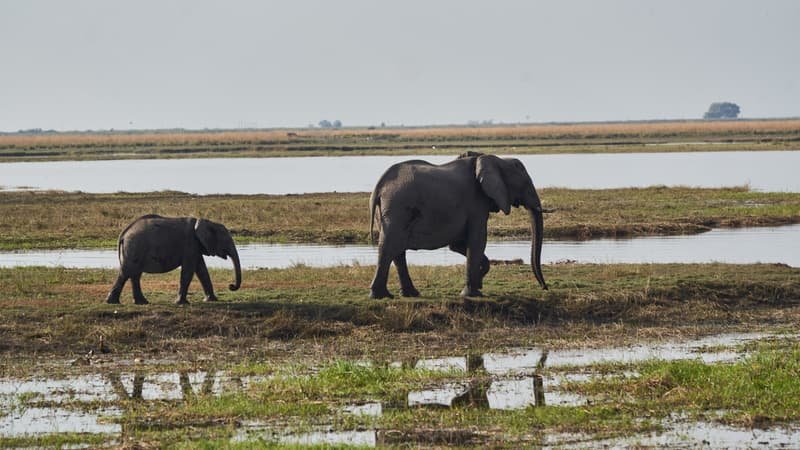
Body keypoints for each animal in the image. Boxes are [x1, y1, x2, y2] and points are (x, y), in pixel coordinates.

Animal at [108, 214, 242, 306]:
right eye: (226, 240)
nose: (231, 286)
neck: (205, 222)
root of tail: (123, 234)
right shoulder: (190, 244)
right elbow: (188, 271)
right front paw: (181, 303)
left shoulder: (195, 247)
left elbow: (202, 270)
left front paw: (211, 300)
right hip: (135, 247)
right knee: (127, 272)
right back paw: (114, 302)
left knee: (134, 274)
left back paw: (141, 302)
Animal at [370, 152, 548, 298]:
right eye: (526, 184)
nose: (544, 287)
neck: (496, 159)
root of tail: (379, 186)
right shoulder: (476, 203)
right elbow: (477, 240)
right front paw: (473, 293)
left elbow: (459, 245)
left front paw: (478, 283)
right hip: (397, 208)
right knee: (390, 247)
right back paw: (381, 296)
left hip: (388, 212)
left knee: (397, 251)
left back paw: (409, 294)